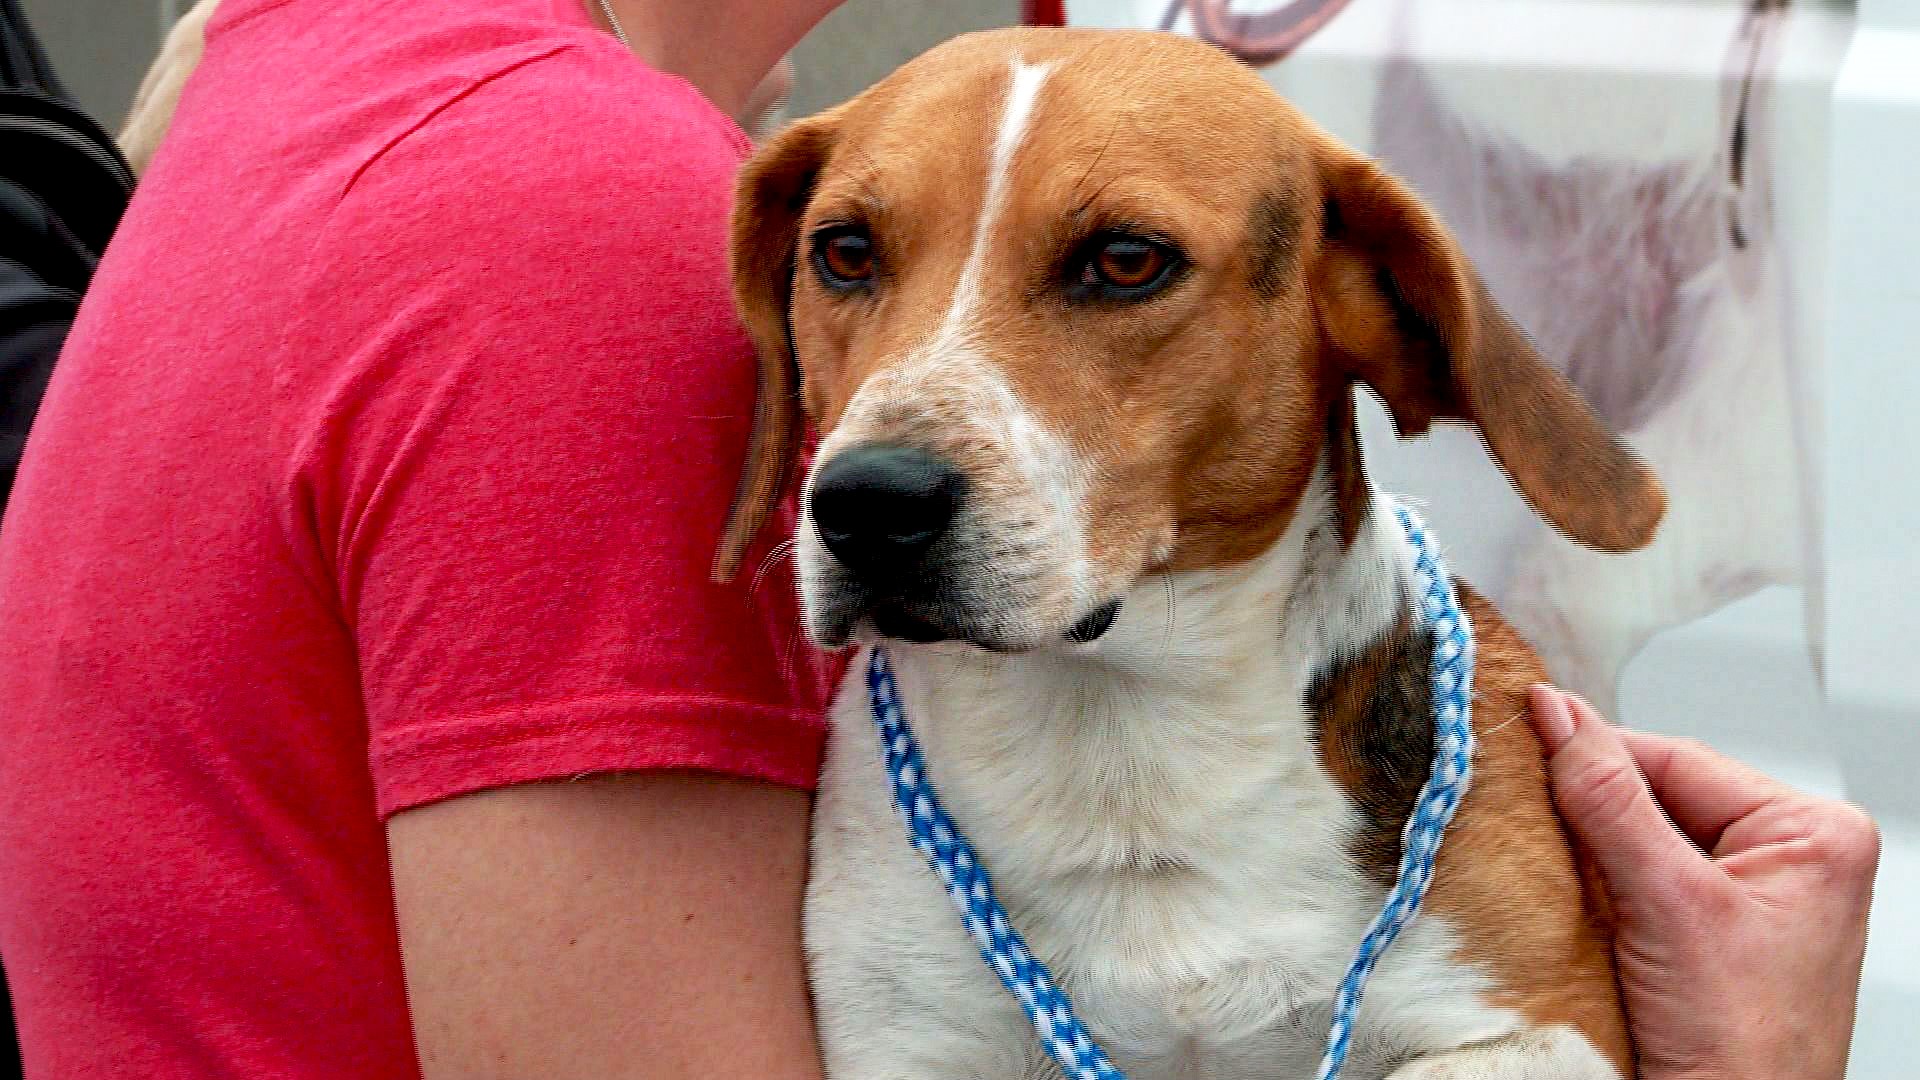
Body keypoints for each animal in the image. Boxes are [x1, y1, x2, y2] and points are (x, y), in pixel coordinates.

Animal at [721, 25, 1666, 1076]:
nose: (869, 505)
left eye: (1127, 260)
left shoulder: (1544, 1023)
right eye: (844, 251)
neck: (1124, 756)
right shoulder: (906, 1037)